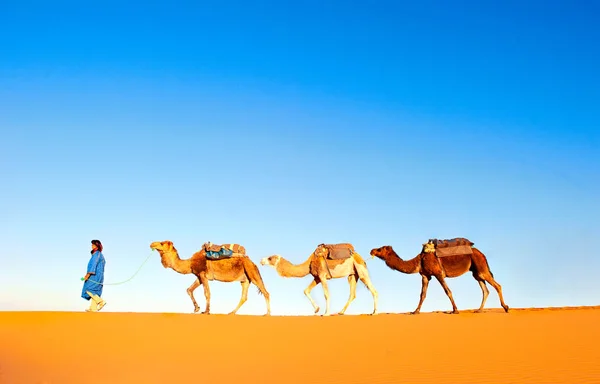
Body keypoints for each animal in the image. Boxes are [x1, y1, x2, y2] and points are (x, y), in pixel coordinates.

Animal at [368, 243, 508, 316]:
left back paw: (506, 307)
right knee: (485, 290)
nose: (372, 250)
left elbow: (447, 291)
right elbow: (422, 294)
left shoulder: (438, 273)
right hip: (476, 272)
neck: (419, 261)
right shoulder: (425, 275)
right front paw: (415, 311)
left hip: (481, 268)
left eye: (380, 249)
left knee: (497, 285)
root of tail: (482, 254)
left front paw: (455, 310)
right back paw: (479, 310)